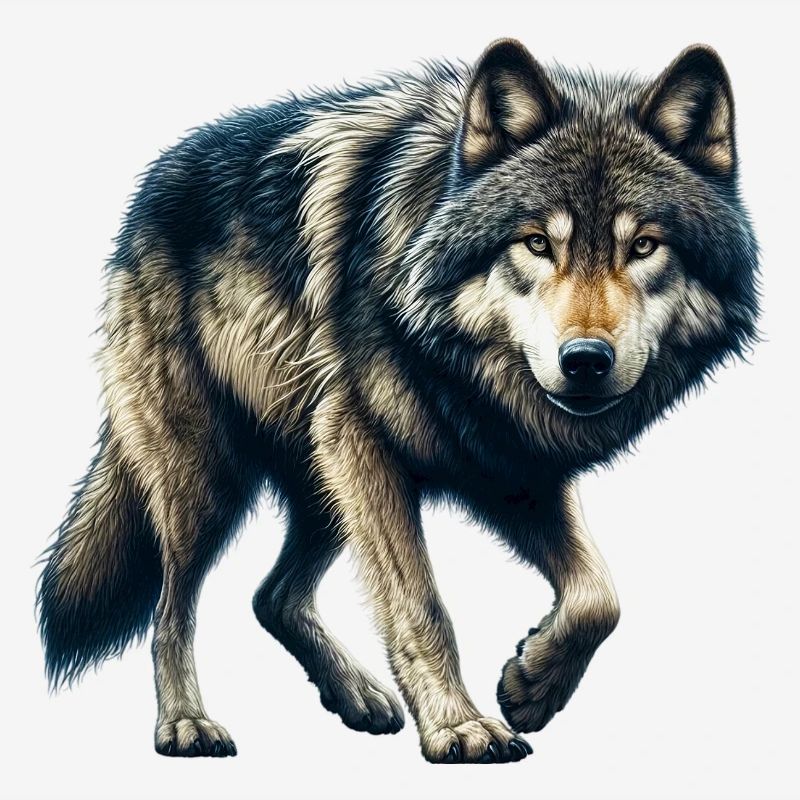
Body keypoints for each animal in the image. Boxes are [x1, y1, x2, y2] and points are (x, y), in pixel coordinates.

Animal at [37, 39, 759, 763]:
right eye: (536, 243)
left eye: (643, 246)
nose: (585, 361)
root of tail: (150, 185)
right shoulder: (367, 443)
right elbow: (420, 605)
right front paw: (459, 727)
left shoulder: (509, 468)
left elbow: (600, 596)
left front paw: (532, 686)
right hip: (214, 480)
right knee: (170, 609)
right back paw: (186, 723)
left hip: (323, 481)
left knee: (272, 597)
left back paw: (355, 694)